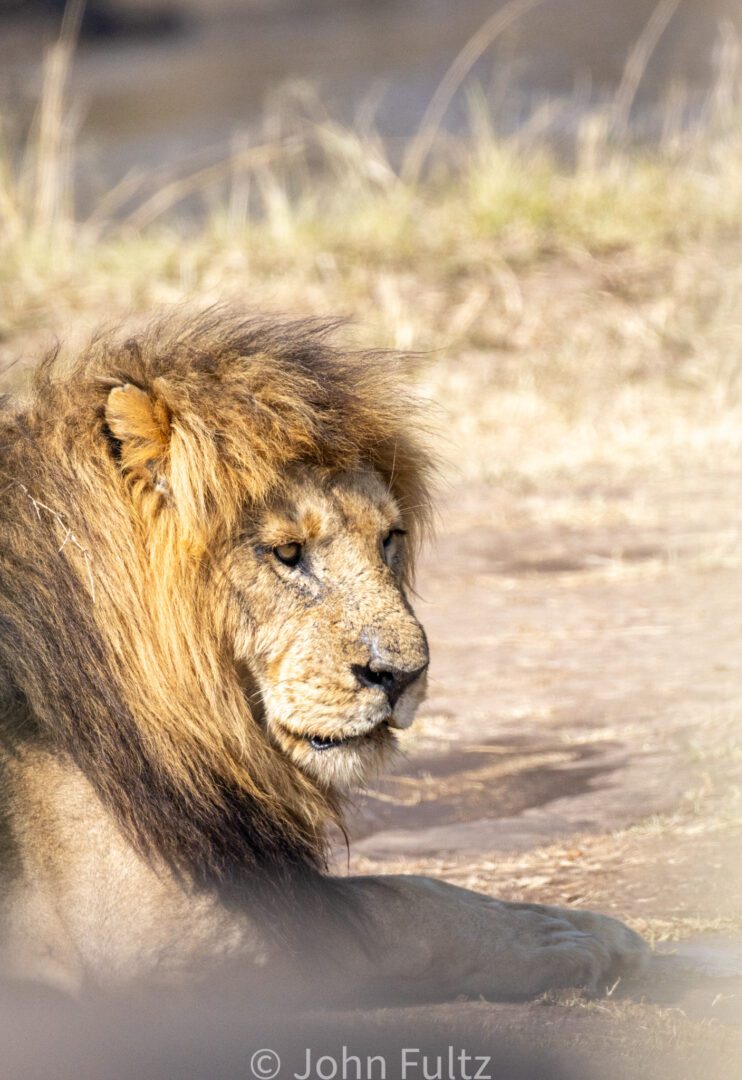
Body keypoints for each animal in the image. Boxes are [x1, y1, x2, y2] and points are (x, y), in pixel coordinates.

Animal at [0, 311, 648, 993]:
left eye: (389, 538)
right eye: (287, 553)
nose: (402, 677)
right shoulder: (138, 925)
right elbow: (396, 908)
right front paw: (554, 938)